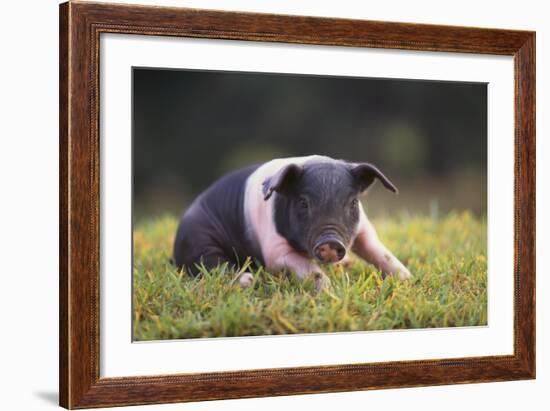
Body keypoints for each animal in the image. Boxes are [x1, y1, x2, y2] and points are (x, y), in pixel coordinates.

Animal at [175, 155, 412, 292]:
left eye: (353, 202)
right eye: (302, 202)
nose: (330, 241)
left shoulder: (363, 228)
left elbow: (379, 252)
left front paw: (407, 278)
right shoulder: (274, 251)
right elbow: (308, 268)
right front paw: (328, 291)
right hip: (199, 241)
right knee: (214, 264)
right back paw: (249, 280)